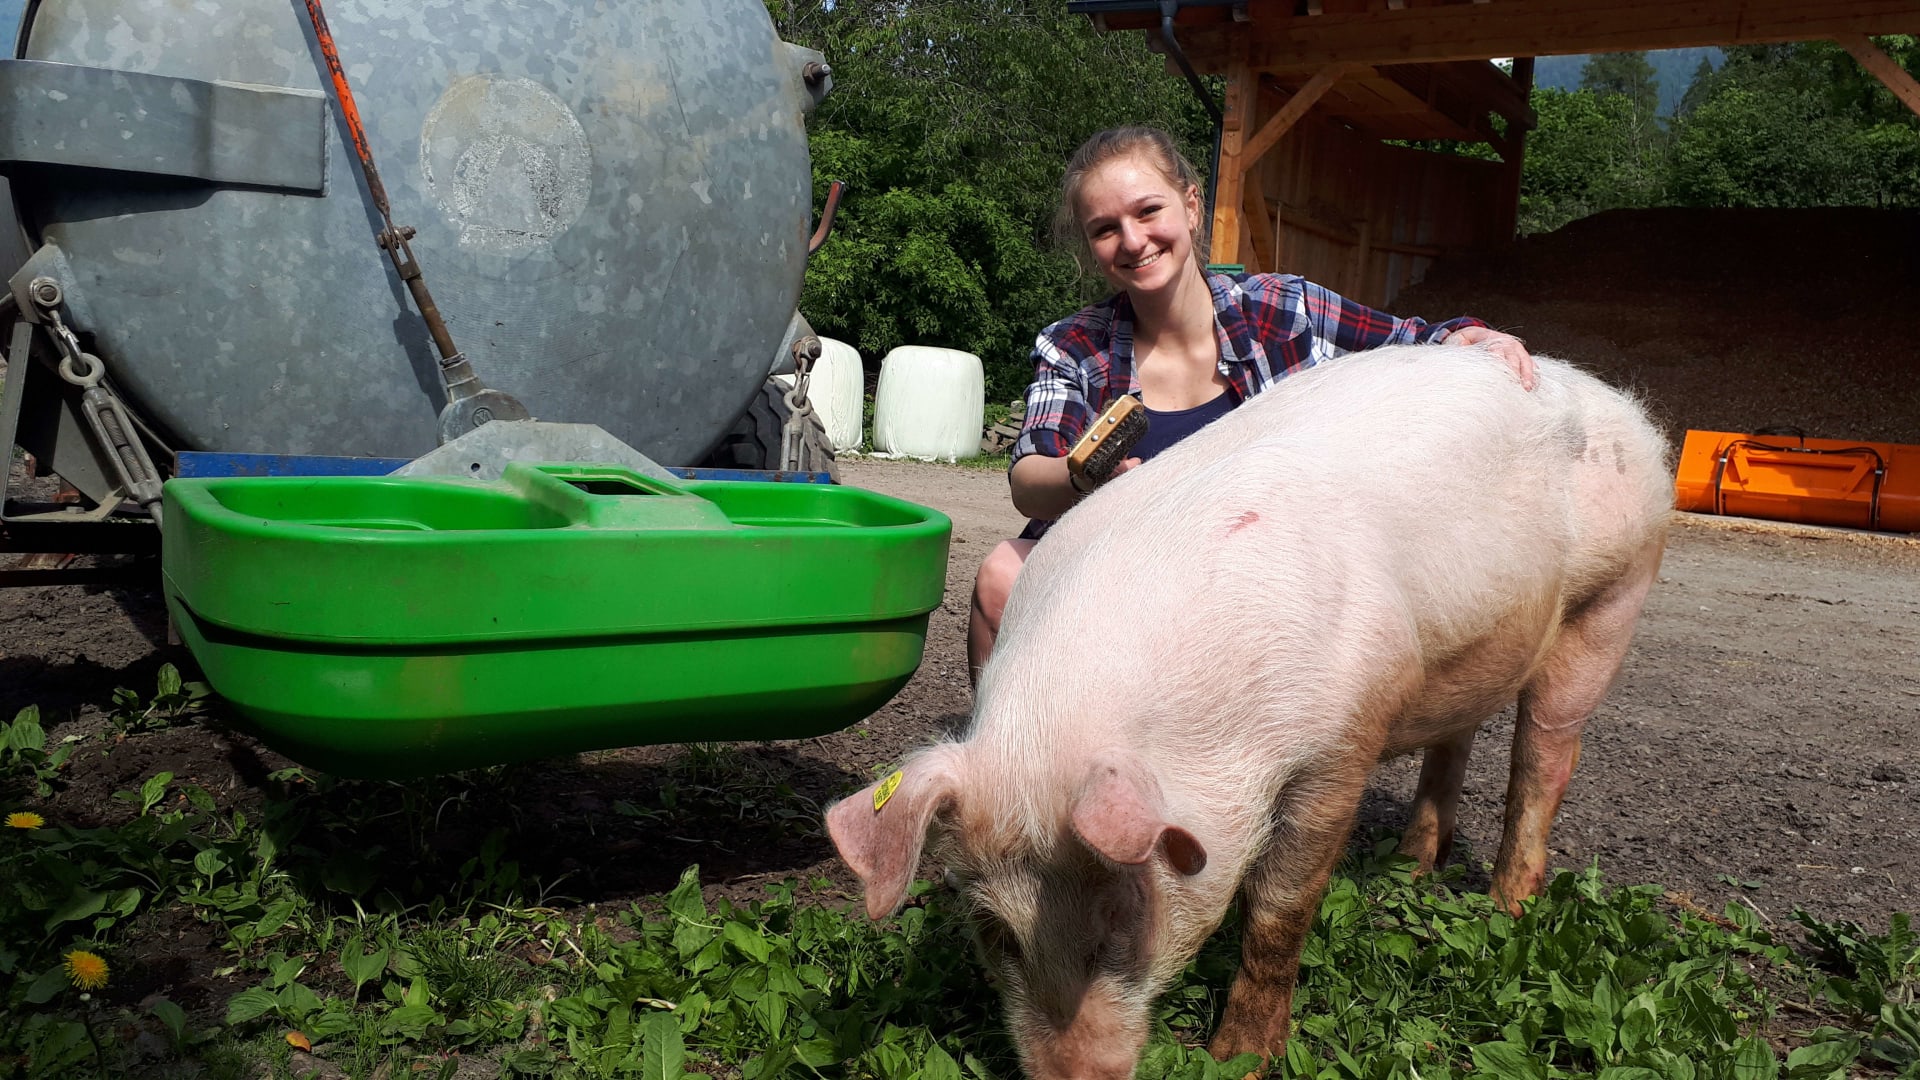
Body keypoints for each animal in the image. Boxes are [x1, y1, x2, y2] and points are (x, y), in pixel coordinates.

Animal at [827, 344, 1672, 1080]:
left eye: (1117, 928)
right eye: (996, 932)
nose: (1073, 1077)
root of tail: (1616, 403)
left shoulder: (1343, 738)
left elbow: (1280, 908)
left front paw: (1239, 1061)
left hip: (1616, 594)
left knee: (1544, 758)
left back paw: (1505, 912)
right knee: (1455, 740)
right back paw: (1408, 867)